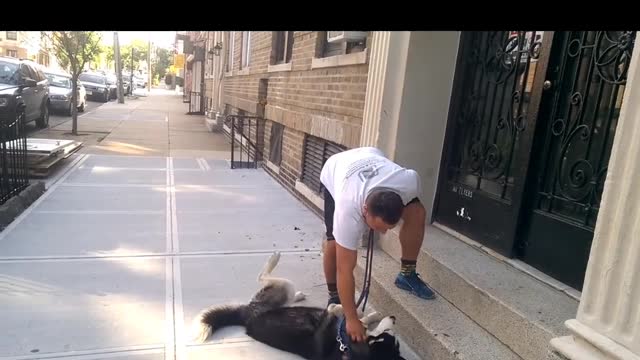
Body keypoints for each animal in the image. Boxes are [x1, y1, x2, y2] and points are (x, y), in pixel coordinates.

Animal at [192, 252, 408, 360]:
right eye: (387, 334)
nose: (394, 318)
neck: (347, 349)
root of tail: (246, 315)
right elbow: (350, 314)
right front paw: (364, 314)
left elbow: (355, 318)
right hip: (283, 287)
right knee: (262, 276)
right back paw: (275, 258)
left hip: (281, 292)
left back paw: (297, 294)